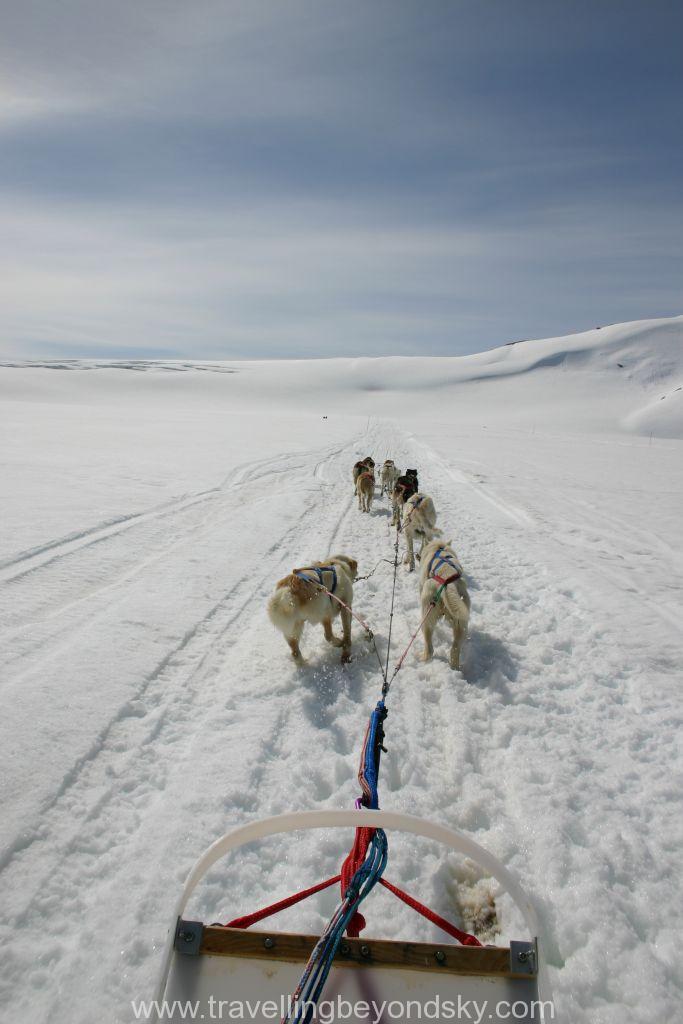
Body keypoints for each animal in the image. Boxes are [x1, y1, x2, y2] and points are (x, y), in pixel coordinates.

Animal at [417, 536, 471, 671]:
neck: (439, 548)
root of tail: (447, 582)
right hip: (461, 622)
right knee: (454, 650)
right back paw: (455, 668)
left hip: (427, 617)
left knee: (429, 648)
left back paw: (423, 659)